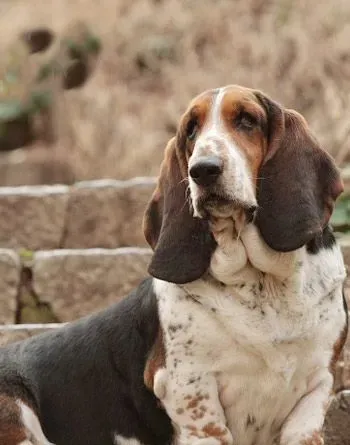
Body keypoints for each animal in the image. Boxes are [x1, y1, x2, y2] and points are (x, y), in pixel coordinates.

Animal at [0, 86, 346, 444]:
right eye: (191, 130)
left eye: (247, 120)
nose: (203, 169)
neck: (260, 286)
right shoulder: (191, 389)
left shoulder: (317, 386)